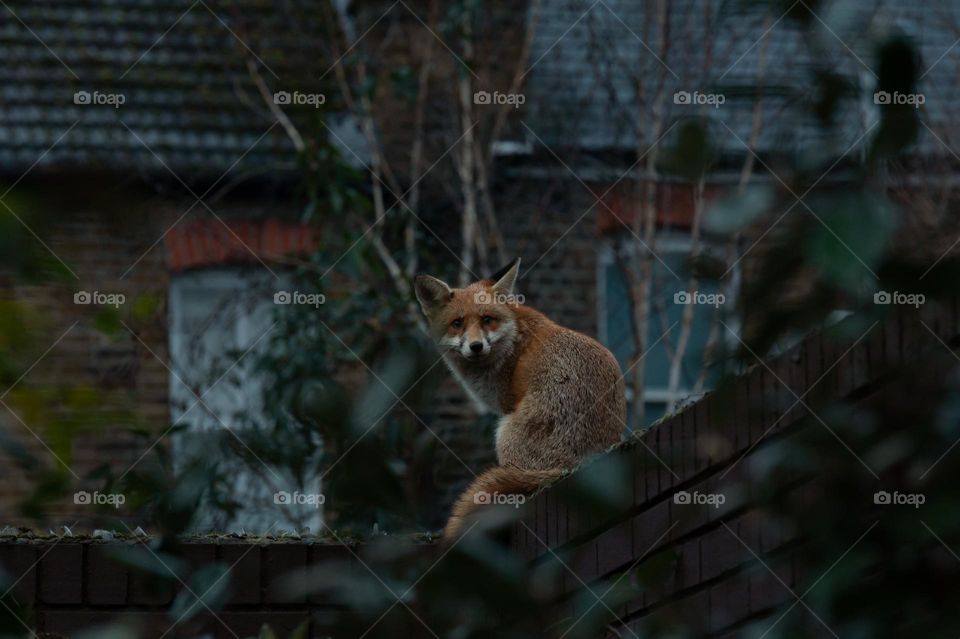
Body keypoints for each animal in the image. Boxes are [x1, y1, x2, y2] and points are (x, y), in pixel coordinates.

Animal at [414, 258, 632, 540]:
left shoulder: (507, 403)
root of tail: (574, 466)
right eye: (457, 323)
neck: (513, 336)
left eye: (487, 319)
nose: (476, 346)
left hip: (504, 433)